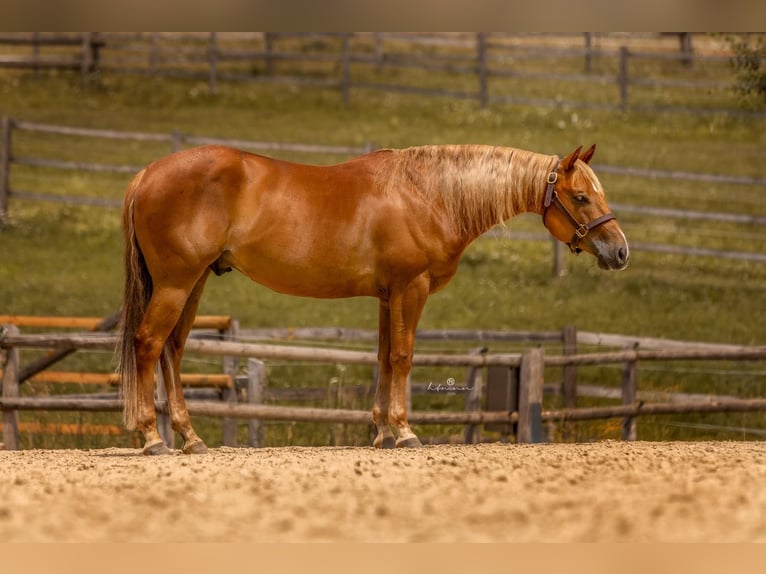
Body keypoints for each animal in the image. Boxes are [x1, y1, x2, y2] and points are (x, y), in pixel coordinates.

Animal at [116, 143, 629, 455]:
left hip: (194, 282)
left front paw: (382, 431)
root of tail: (146, 174)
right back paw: (151, 437)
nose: (620, 251)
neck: (428, 194)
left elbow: (384, 357)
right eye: (581, 197)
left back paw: (189, 437)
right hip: (177, 283)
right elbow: (403, 357)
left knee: (172, 349)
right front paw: (404, 431)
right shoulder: (410, 287)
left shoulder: (388, 296)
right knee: (148, 343)